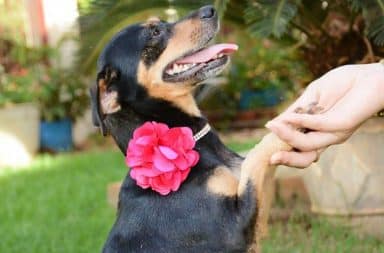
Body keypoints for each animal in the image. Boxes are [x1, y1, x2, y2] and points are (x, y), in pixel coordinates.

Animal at [91, 4, 312, 252]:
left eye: (161, 22)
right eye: (155, 32)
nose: (210, 9)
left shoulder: (256, 223)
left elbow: (259, 164)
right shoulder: (233, 229)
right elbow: (256, 155)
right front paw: (295, 122)